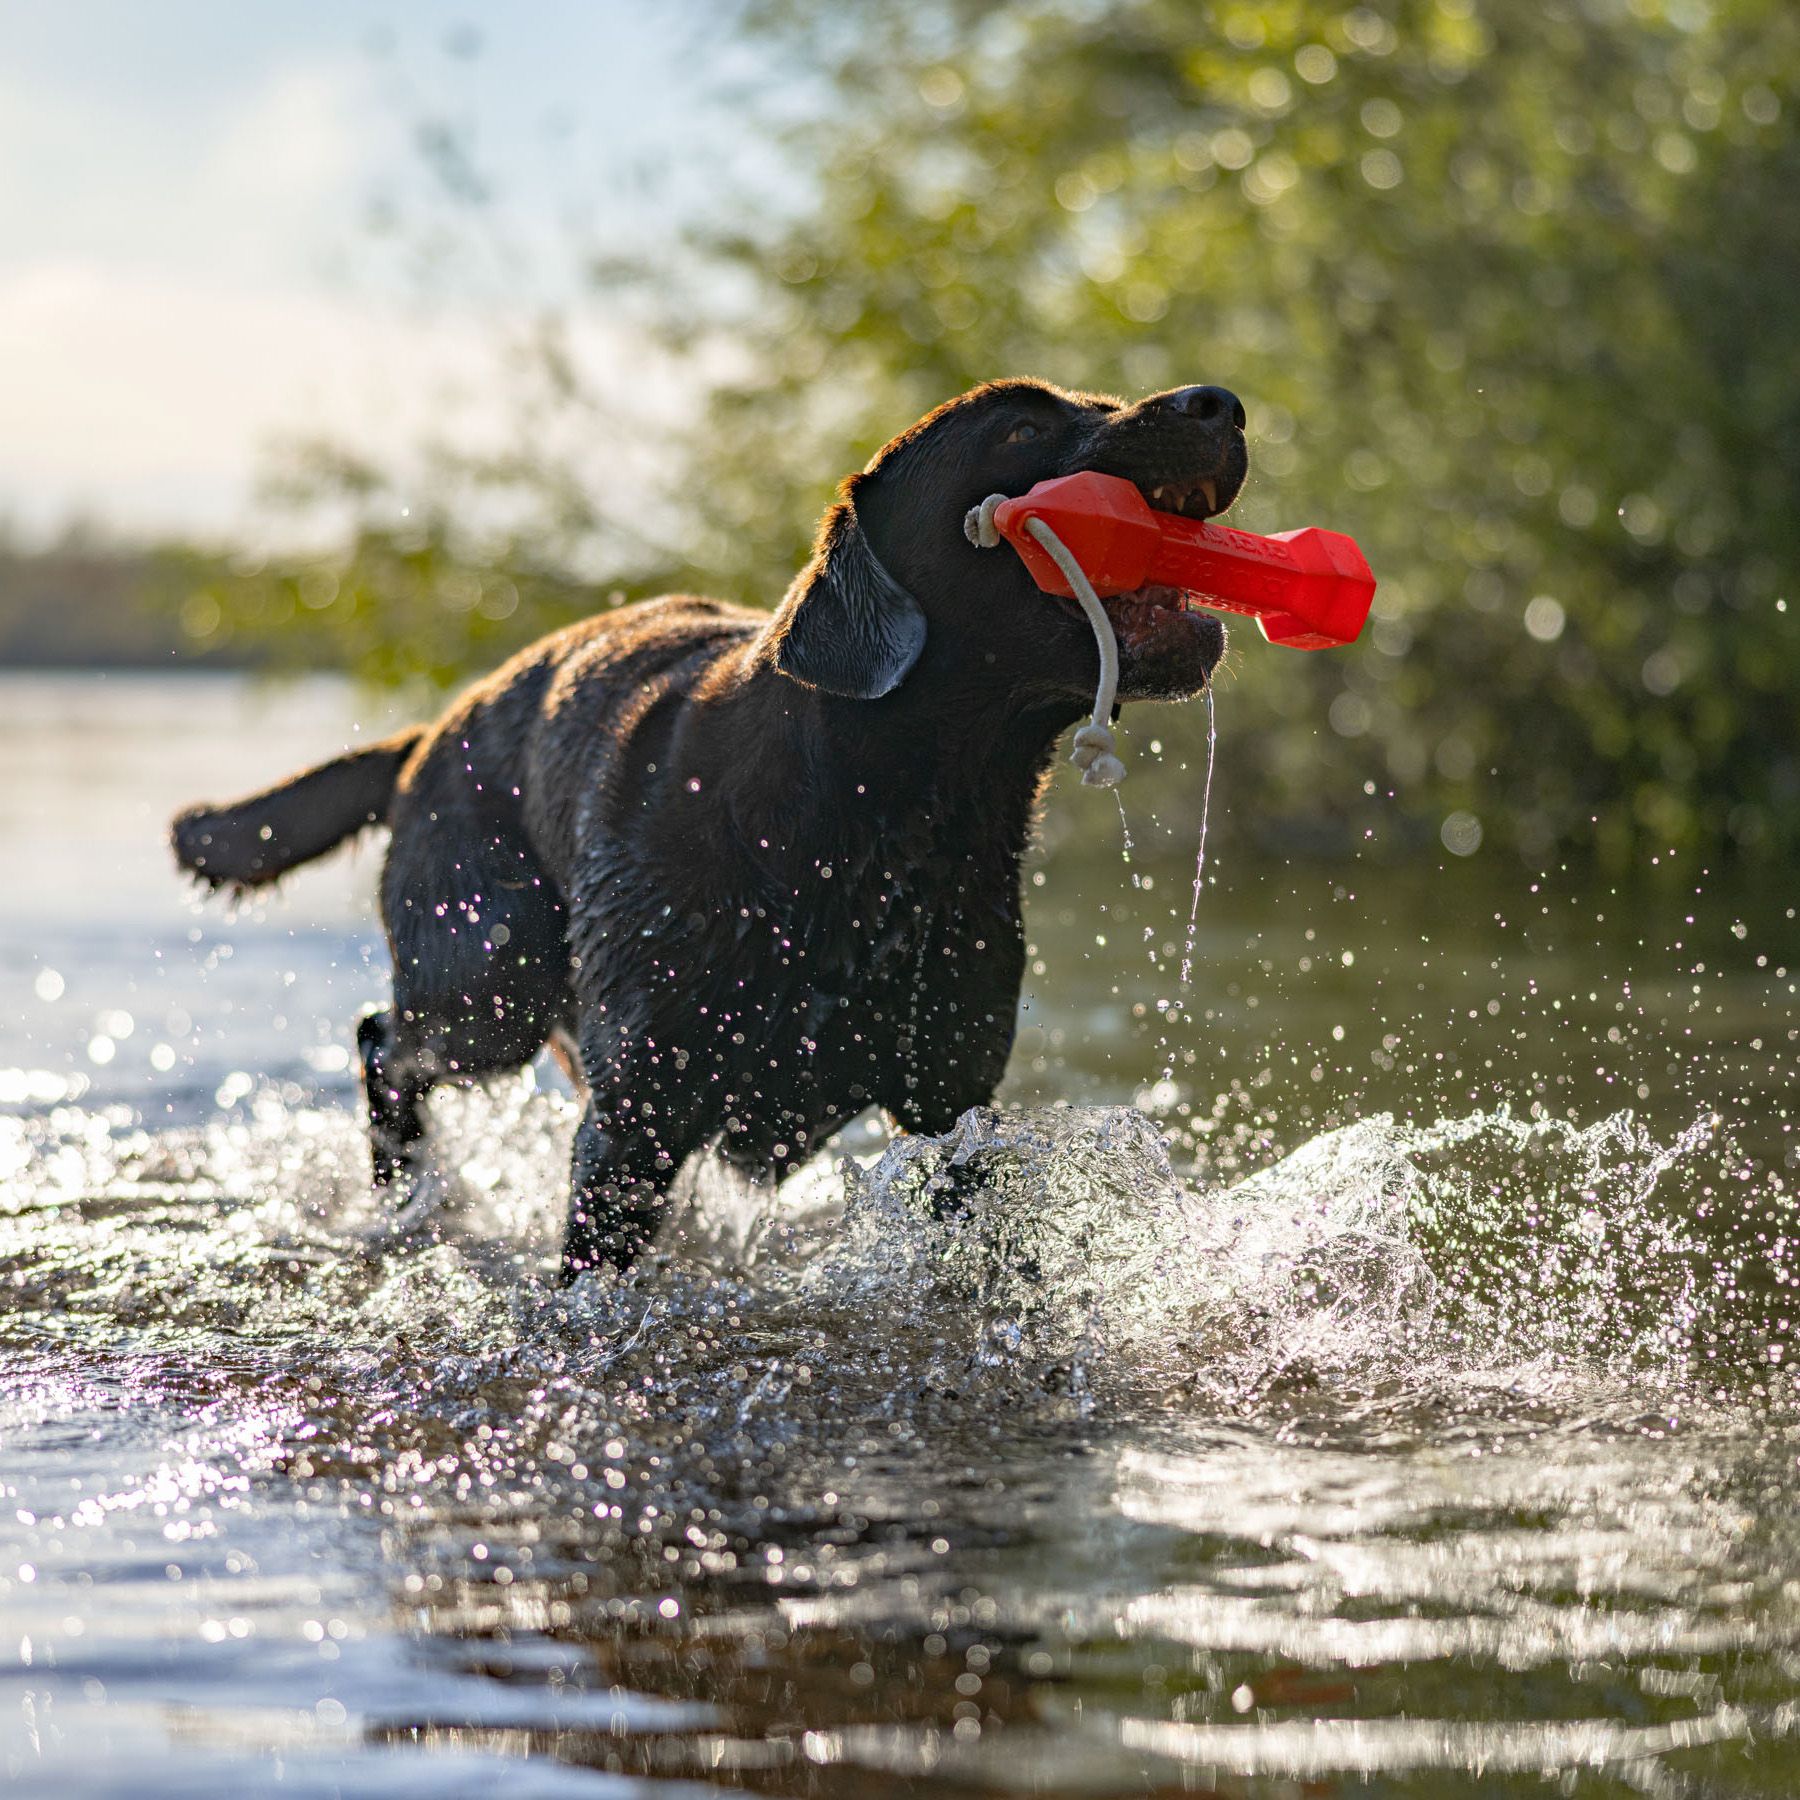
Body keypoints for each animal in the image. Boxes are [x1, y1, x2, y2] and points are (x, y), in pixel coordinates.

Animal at [171, 379, 1238, 1281]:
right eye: (1019, 427)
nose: (1221, 402)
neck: (876, 822)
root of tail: (431, 730)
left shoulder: (950, 1094)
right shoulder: (637, 1115)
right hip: (486, 975)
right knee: (384, 1043)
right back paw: (403, 1193)